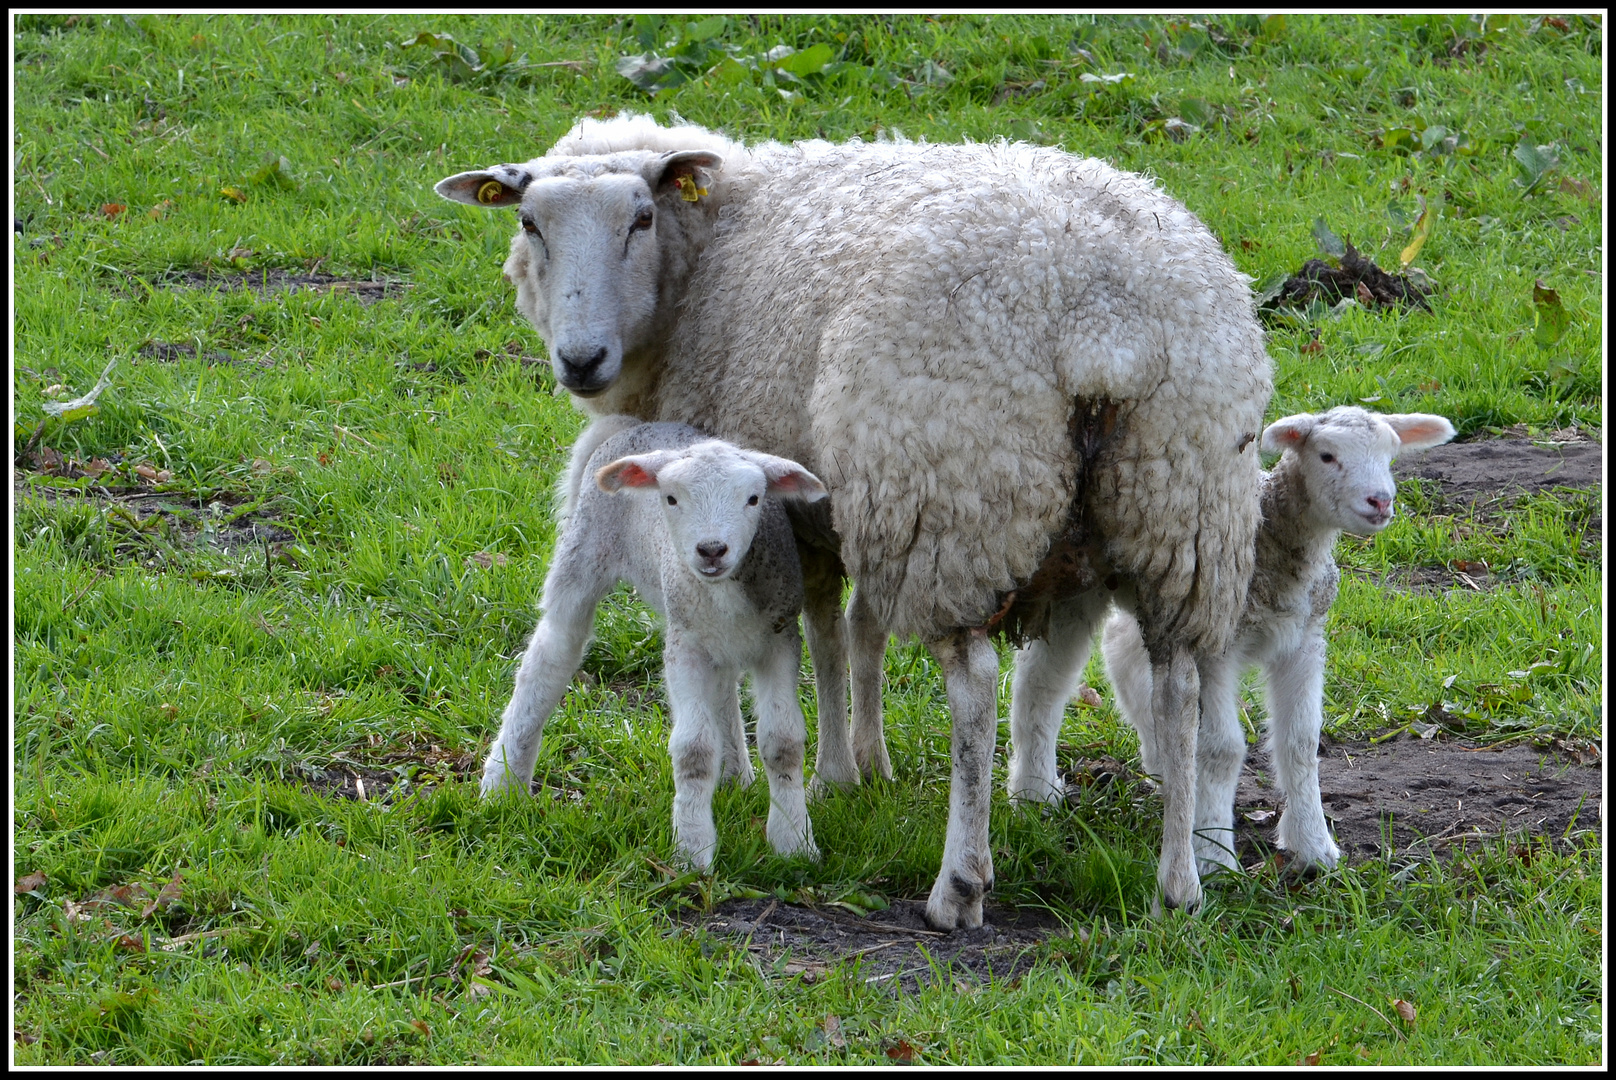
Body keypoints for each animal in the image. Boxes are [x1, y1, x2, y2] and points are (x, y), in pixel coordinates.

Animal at [478, 417, 827, 873]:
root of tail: (637, 425)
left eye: (754, 499)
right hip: (584, 549)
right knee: (550, 655)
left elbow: (783, 743)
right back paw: (503, 782)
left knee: (722, 687)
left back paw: (735, 777)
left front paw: (794, 843)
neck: (723, 593)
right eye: (671, 498)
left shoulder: (779, 640)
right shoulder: (684, 647)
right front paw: (692, 852)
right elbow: (693, 749)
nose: (711, 550)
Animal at [1092, 407, 1460, 879]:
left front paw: (1314, 846)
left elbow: (1300, 741)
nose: (1380, 501)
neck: (1275, 549)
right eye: (1326, 456)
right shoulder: (1214, 646)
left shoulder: (1304, 638)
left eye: (1390, 455)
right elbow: (1221, 748)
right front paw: (1213, 854)